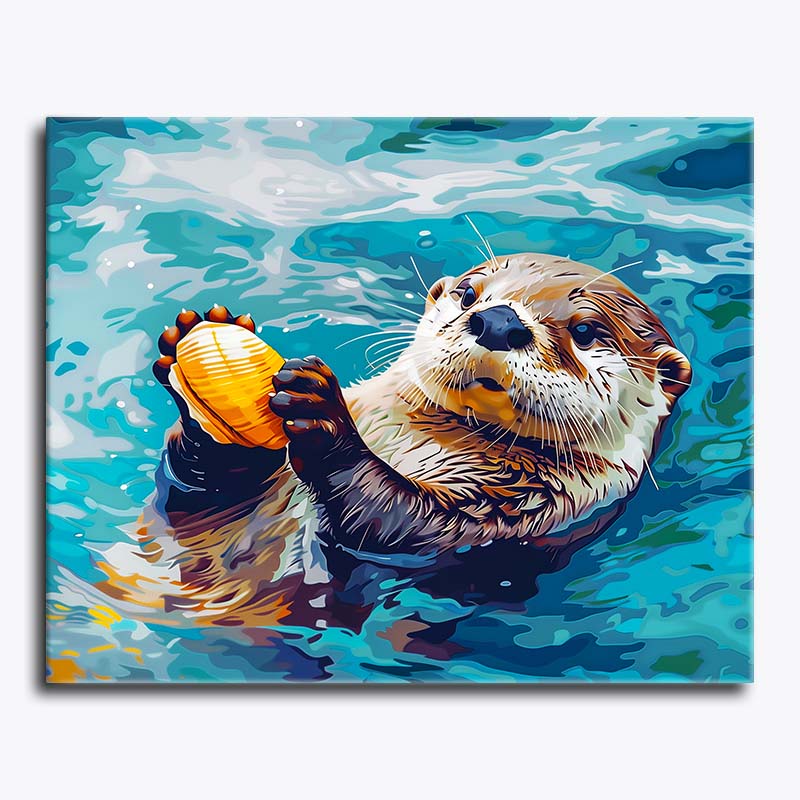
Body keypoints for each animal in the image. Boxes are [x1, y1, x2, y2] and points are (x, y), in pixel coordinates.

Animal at [97, 252, 691, 626]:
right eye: (470, 293)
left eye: (586, 331)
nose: (499, 320)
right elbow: (199, 496)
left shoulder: (525, 512)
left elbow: (391, 522)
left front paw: (325, 419)